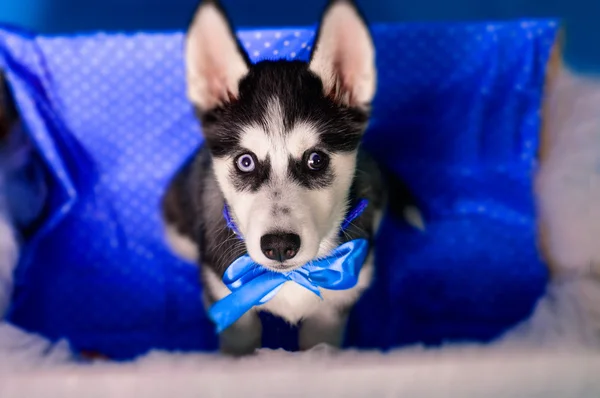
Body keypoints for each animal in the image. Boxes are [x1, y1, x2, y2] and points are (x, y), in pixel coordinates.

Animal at [162, 0, 420, 354]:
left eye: (316, 159)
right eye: (245, 162)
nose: (280, 246)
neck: (293, 276)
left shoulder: (331, 313)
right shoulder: (230, 305)